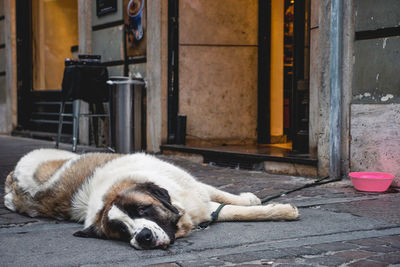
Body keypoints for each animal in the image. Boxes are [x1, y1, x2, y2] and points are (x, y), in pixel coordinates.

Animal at [2, 150, 296, 250]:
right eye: (121, 231)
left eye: (143, 209)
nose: (142, 237)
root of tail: (13, 178)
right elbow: (230, 211)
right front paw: (281, 210)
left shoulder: (192, 188)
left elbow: (225, 197)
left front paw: (252, 200)